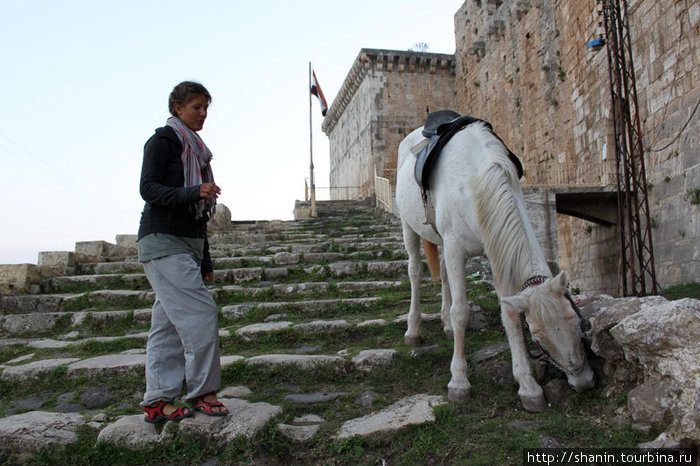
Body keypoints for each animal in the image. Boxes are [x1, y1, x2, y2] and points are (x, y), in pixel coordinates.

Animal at [396, 121, 592, 412]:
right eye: (539, 339)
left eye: (577, 324)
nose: (585, 382)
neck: (474, 181)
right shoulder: (455, 247)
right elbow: (461, 312)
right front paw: (459, 382)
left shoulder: (495, 248)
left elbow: (508, 314)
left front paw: (528, 386)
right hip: (408, 227)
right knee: (415, 272)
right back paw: (413, 330)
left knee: (444, 275)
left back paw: (445, 325)